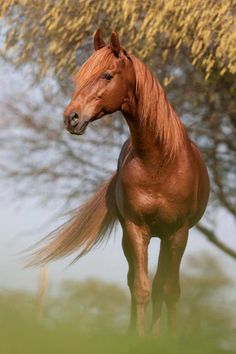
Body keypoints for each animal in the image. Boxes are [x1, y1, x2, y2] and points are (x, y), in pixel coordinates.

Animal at [32, 29, 209, 334]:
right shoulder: (135, 230)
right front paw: (137, 336)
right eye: (80, 77)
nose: (71, 118)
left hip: (166, 238)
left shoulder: (178, 232)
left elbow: (170, 291)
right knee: (137, 281)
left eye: (107, 75)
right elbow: (140, 288)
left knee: (162, 284)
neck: (159, 162)